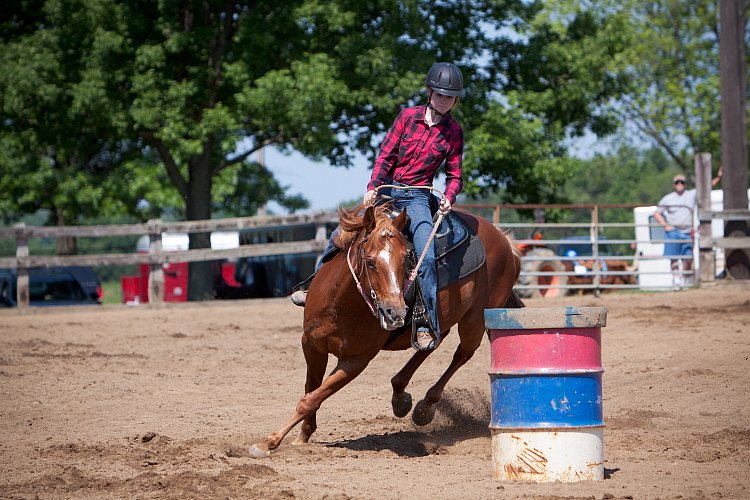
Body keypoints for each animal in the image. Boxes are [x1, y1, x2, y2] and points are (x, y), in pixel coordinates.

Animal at [251, 202, 524, 458]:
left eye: (406, 259)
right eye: (370, 262)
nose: (397, 312)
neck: (341, 305)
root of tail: (504, 242)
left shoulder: (356, 361)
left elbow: (312, 397)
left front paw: (268, 442)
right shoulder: (311, 345)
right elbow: (311, 389)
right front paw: (303, 436)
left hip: (475, 318)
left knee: (462, 353)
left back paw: (425, 406)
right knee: (433, 341)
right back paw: (400, 395)